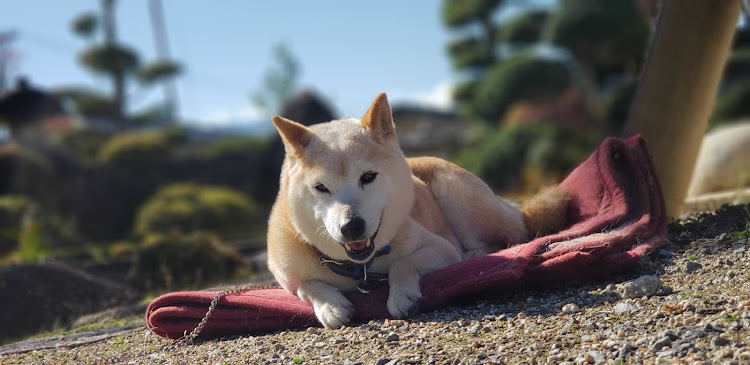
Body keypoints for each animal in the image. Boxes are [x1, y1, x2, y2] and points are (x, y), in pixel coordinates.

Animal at [268, 91, 568, 328]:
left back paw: (475, 254)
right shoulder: (286, 273)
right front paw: (330, 305)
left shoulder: (440, 247)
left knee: (512, 235)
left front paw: (401, 295)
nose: (351, 226)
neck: (360, 269)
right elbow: (305, 286)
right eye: (321, 188)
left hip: (458, 196)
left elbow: (401, 263)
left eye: (368, 177)